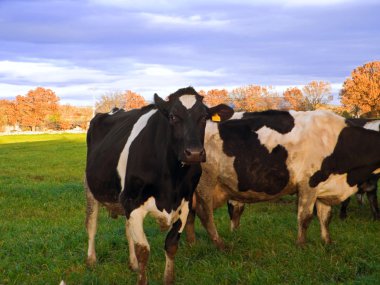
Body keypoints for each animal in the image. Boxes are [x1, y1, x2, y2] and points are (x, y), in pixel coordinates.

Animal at [85, 87, 233, 284]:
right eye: (172, 116)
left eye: (204, 117)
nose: (194, 153)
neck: (171, 180)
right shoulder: (133, 203)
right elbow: (143, 250)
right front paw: (141, 278)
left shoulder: (184, 203)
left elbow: (171, 245)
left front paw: (167, 278)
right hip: (90, 188)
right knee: (91, 224)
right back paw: (91, 260)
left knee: (127, 230)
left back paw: (132, 264)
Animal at [186, 110, 380, 247]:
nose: (371, 187)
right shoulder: (308, 184)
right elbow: (305, 217)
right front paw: (301, 245)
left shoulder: (323, 185)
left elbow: (326, 217)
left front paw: (327, 242)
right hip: (206, 182)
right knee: (204, 213)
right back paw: (219, 244)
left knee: (192, 212)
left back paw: (192, 243)